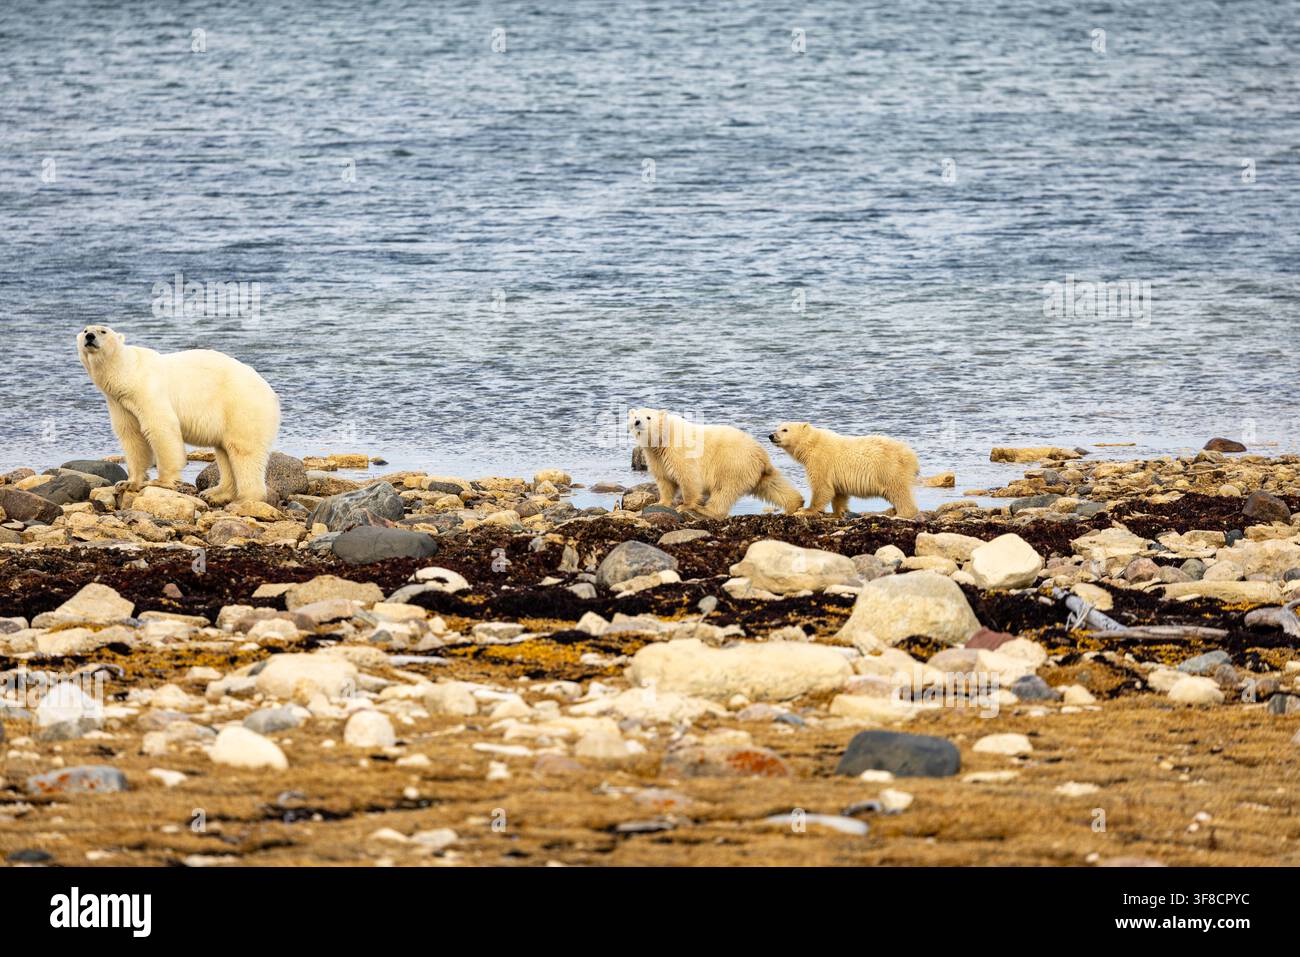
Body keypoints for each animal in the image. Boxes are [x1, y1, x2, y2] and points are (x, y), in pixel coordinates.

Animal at [77, 325, 281, 504]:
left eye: (103, 331)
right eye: (85, 330)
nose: (89, 337)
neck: (128, 372)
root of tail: (271, 394)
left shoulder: (148, 390)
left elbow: (161, 428)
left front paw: (161, 481)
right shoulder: (120, 403)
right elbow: (132, 436)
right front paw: (127, 483)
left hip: (241, 407)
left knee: (243, 451)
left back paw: (245, 498)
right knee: (225, 453)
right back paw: (216, 493)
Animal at [628, 408, 803, 519]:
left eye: (648, 417)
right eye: (635, 416)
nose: (637, 422)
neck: (664, 438)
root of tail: (761, 454)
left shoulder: (679, 451)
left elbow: (688, 477)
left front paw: (685, 505)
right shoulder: (656, 456)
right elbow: (664, 479)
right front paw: (660, 503)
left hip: (733, 464)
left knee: (724, 490)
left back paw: (706, 510)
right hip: (755, 470)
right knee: (773, 486)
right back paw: (796, 503)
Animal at [769, 422, 920, 519]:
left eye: (785, 429)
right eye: (777, 427)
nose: (771, 435)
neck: (812, 443)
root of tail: (912, 456)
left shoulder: (821, 461)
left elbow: (822, 487)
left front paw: (804, 510)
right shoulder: (836, 474)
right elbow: (839, 493)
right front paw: (836, 513)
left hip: (889, 469)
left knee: (898, 491)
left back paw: (901, 514)